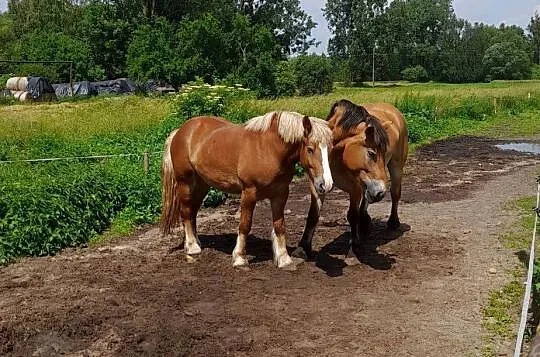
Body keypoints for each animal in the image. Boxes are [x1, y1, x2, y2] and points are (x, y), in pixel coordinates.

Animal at [159, 110, 334, 268]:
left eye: (330, 149)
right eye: (310, 149)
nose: (326, 184)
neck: (269, 149)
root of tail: (180, 131)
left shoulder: (281, 193)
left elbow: (279, 225)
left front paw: (284, 259)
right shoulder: (249, 192)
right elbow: (245, 224)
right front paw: (239, 258)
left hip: (202, 184)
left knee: (193, 211)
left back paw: (195, 242)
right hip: (185, 182)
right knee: (186, 211)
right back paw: (192, 247)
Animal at [294, 98, 408, 262]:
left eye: (383, 151)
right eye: (371, 153)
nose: (380, 192)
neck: (337, 154)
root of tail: (392, 109)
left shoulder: (355, 189)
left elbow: (352, 215)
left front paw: (353, 250)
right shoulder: (318, 184)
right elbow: (313, 215)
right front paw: (303, 248)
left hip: (396, 167)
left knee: (395, 194)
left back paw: (392, 222)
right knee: (367, 199)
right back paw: (365, 223)